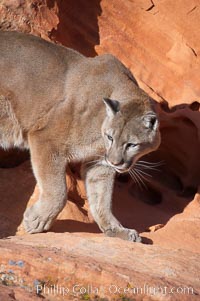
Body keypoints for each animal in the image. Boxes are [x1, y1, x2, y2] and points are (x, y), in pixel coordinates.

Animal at [0, 30, 160, 241]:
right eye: (110, 137)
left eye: (132, 144)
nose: (116, 162)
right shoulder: (47, 139)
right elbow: (58, 191)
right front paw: (37, 220)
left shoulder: (99, 164)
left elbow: (102, 199)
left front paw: (115, 229)